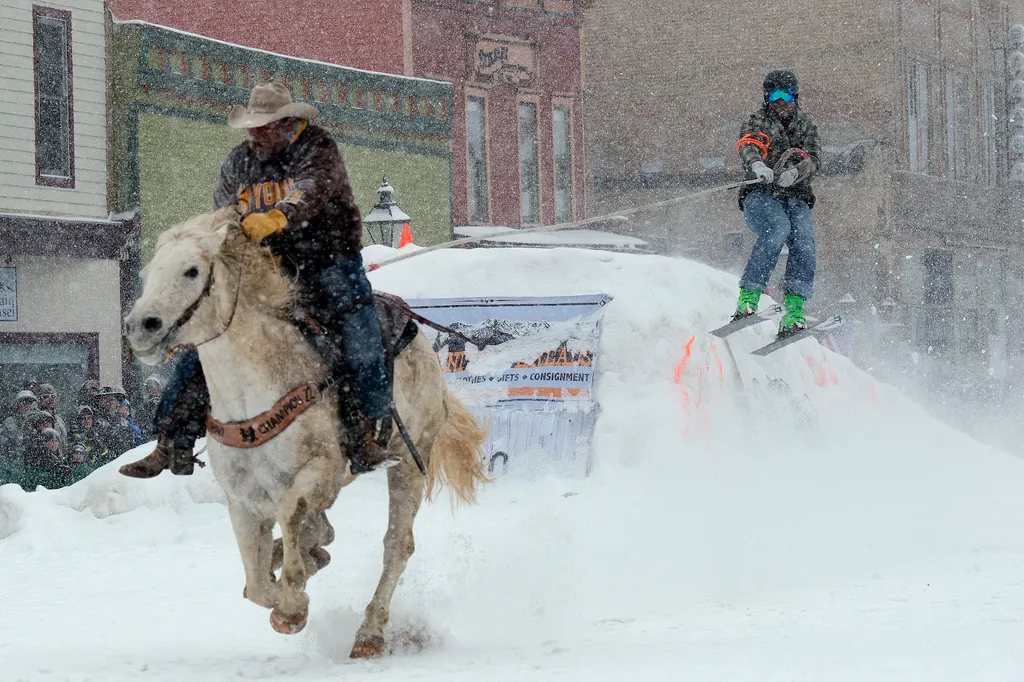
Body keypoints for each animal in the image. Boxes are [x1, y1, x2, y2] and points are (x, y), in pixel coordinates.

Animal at [121, 205, 489, 655]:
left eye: (191, 270)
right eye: (148, 272)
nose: (141, 326)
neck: (252, 391)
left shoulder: (320, 471)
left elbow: (292, 517)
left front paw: (293, 607)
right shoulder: (242, 500)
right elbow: (257, 585)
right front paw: (288, 578)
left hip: (408, 462)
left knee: (396, 545)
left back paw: (370, 632)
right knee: (324, 532)